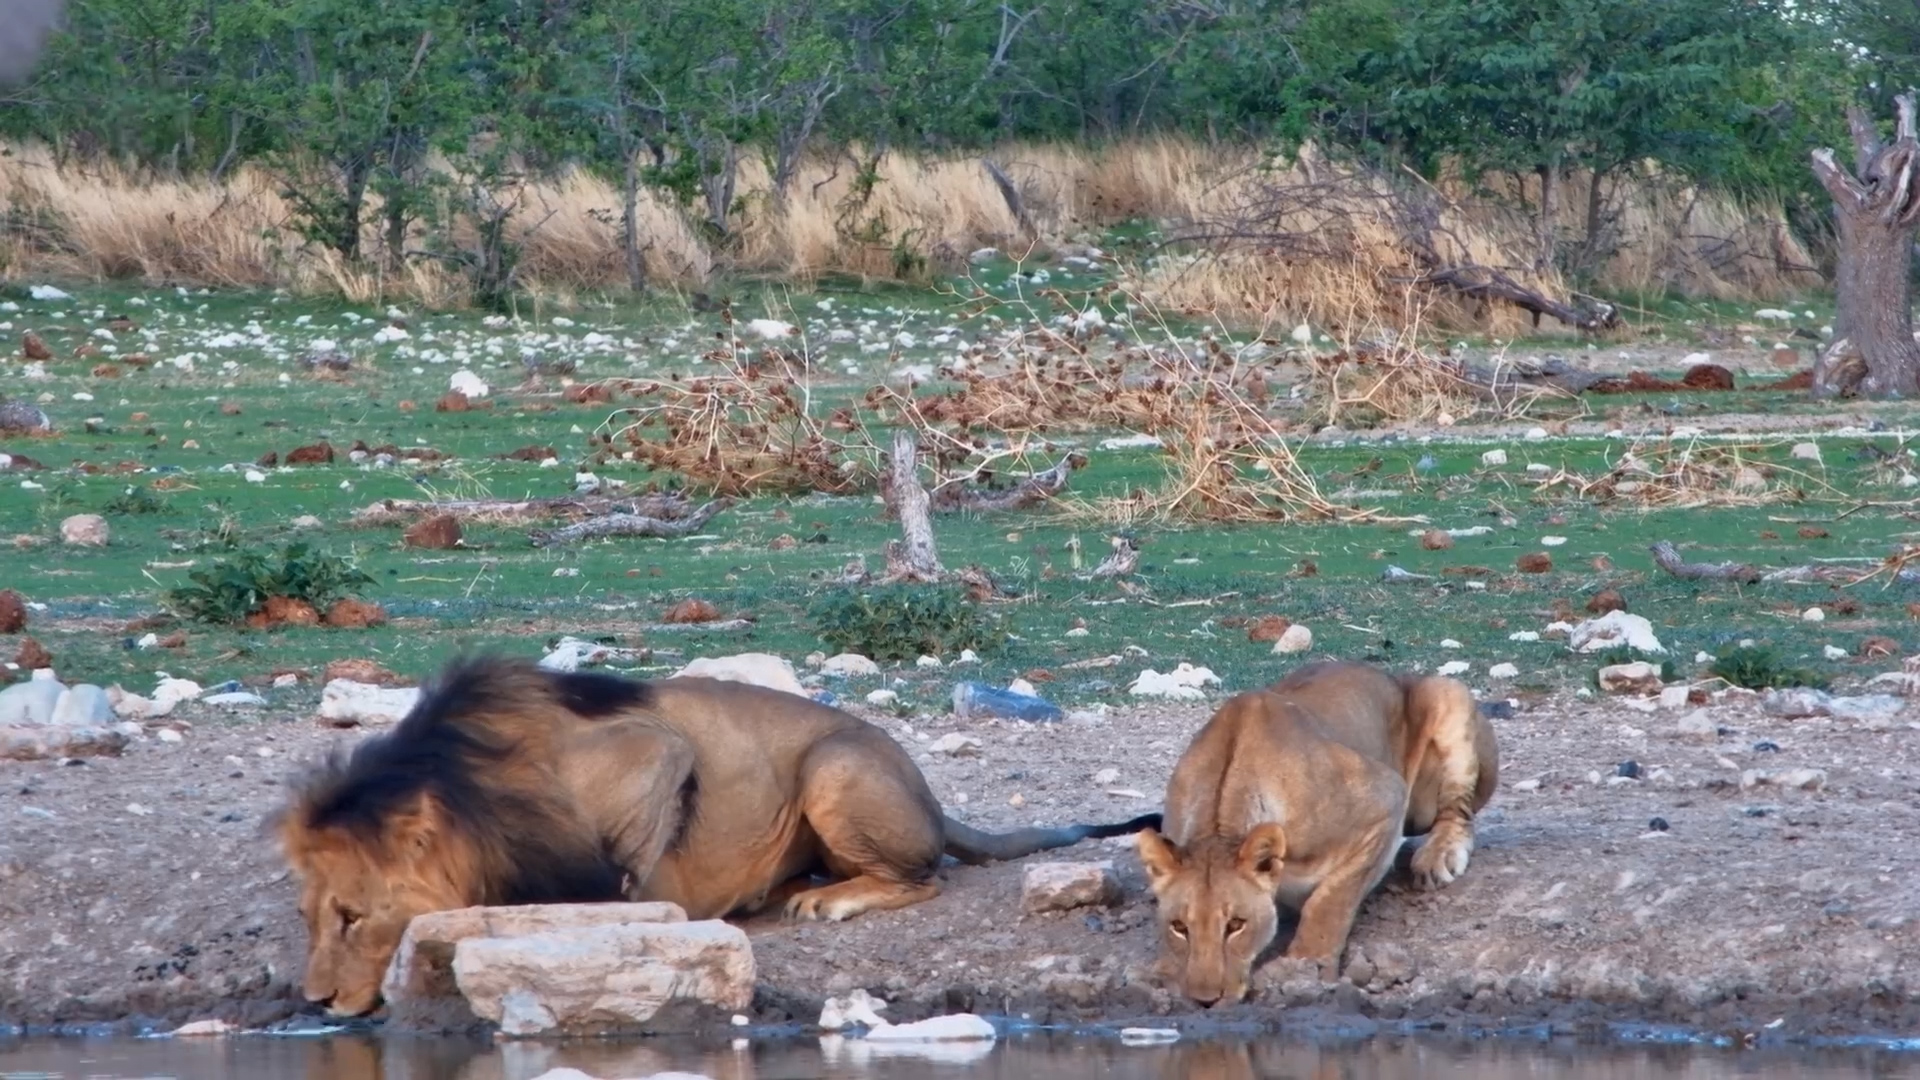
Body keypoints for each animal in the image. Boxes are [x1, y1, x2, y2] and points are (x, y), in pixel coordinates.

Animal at [271, 655, 1160, 1017]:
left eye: (352, 917)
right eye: (310, 919)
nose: (314, 1001)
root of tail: (934, 798)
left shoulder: (652, 750)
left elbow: (627, 862)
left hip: (835, 765)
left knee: (926, 874)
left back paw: (827, 901)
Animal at [1134, 660, 1498, 1006]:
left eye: (1236, 925)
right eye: (1180, 927)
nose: (1206, 1001)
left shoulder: (1385, 801)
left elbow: (1329, 902)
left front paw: (1301, 967)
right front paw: (1163, 973)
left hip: (1447, 693)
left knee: (1456, 812)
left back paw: (1438, 858)